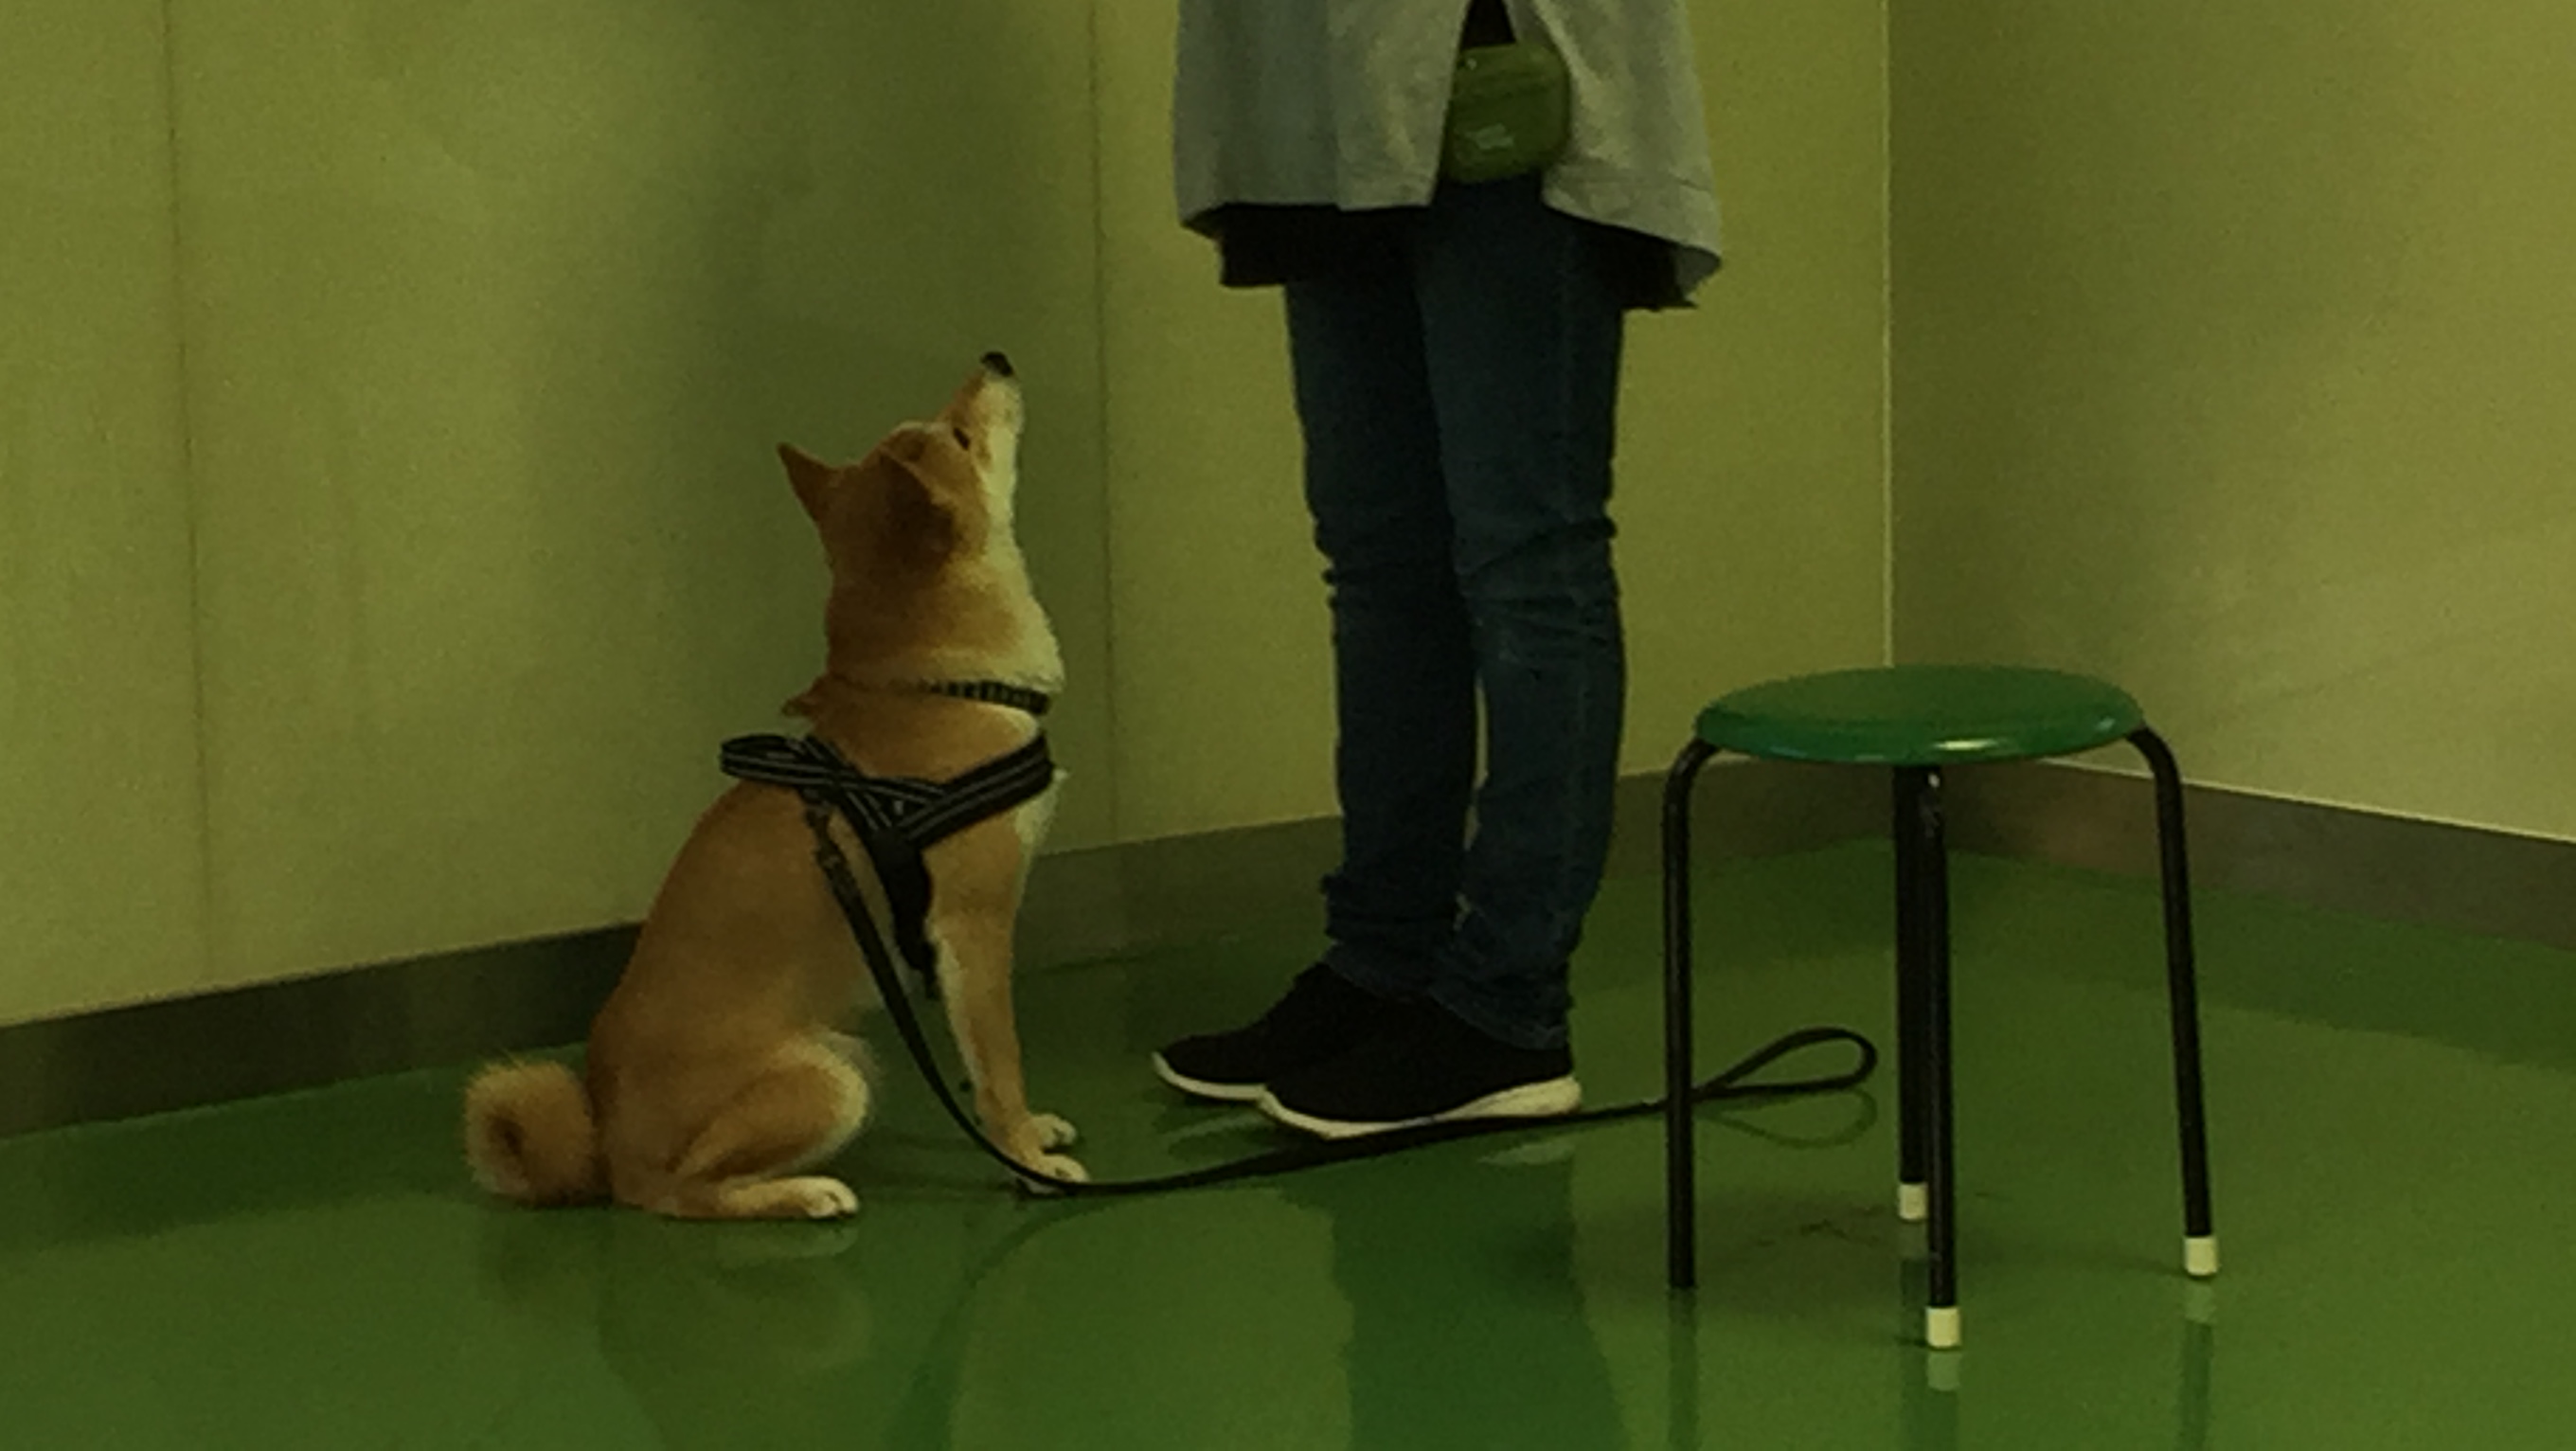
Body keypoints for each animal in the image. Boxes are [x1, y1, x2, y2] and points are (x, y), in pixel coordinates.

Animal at [462, 353, 1085, 1219]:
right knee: (683, 1193)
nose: (997, 357)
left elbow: (986, 1074)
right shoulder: (975, 926)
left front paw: (1026, 1135)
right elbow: (1000, 1068)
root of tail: (606, 1153)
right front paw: (1025, 1160)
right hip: (834, 1077)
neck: (937, 690)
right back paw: (803, 1193)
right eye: (959, 434)